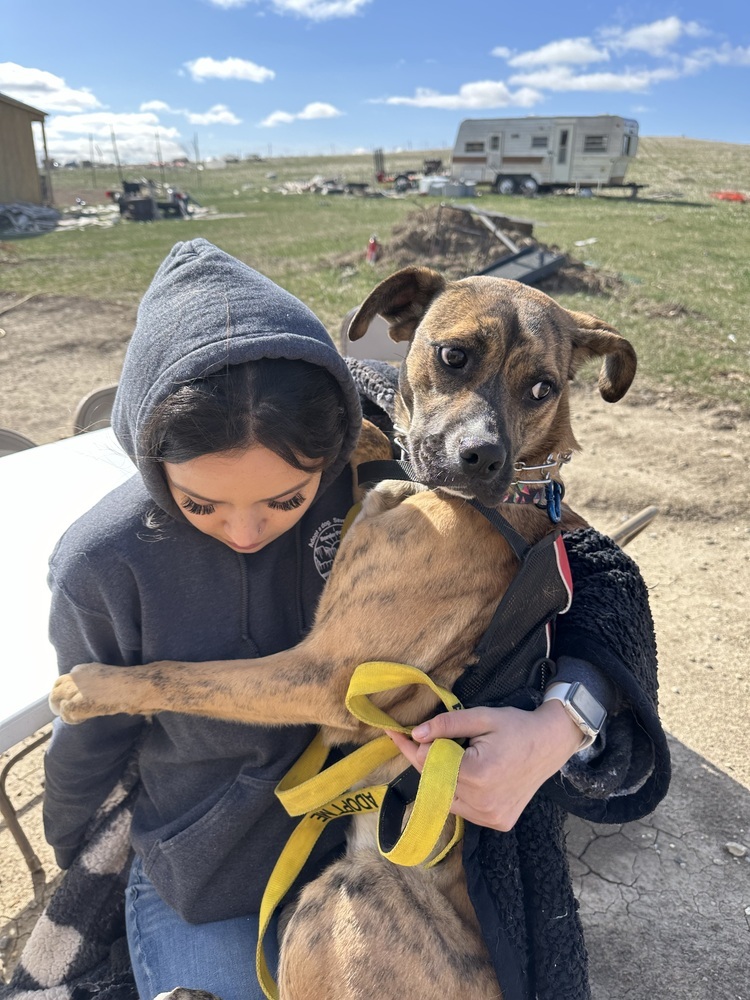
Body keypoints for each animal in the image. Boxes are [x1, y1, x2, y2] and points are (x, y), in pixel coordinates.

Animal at [53, 266, 636, 1000]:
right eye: (453, 356)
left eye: (543, 387)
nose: (482, 458)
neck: (490, 502)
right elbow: (371, 438)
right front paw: (356, 435)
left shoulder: (324, 673)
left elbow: (183, 674)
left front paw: (90, 689)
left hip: (341, 896)